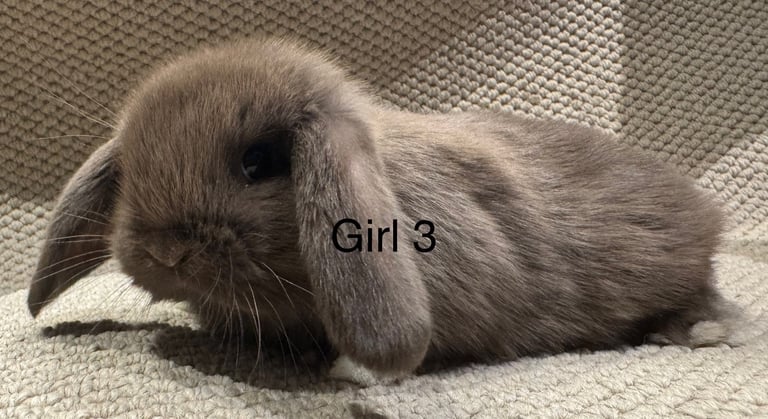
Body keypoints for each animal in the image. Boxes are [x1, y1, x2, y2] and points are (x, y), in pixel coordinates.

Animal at [28, 38, 735, 385]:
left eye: (259, 162)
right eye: (129, 171)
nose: (165, 252)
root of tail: (705, 211)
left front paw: (353, 372)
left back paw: (701, 332)